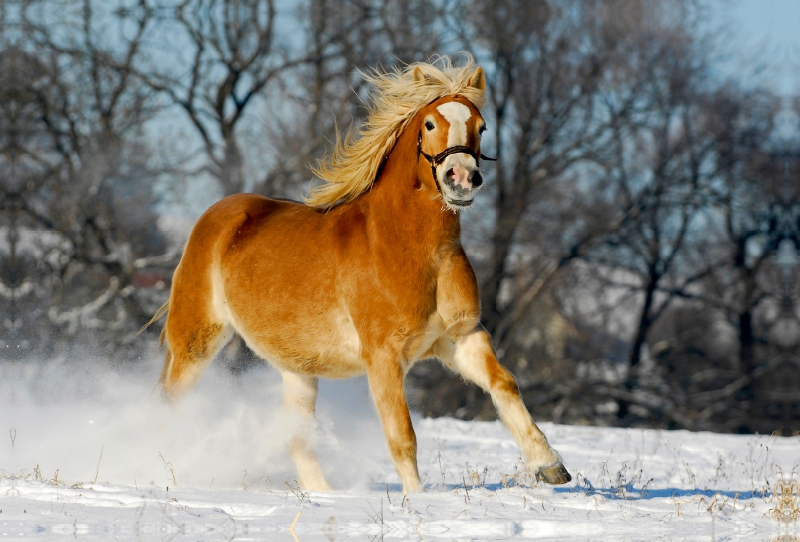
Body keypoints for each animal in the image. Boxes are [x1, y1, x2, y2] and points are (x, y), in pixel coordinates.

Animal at [150, 57, 572, 496]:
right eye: (430, 124)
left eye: (482, 126)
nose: (462, 178)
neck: (415, 250)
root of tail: (216, 217)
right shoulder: (383, 356)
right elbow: (402, 435)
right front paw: (416, 500)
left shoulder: (461, 338)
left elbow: (504, 384)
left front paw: (551, 467)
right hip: (196, 340)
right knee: (170, 404)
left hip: (298, 368)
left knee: (298, 437)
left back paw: (324, 495)